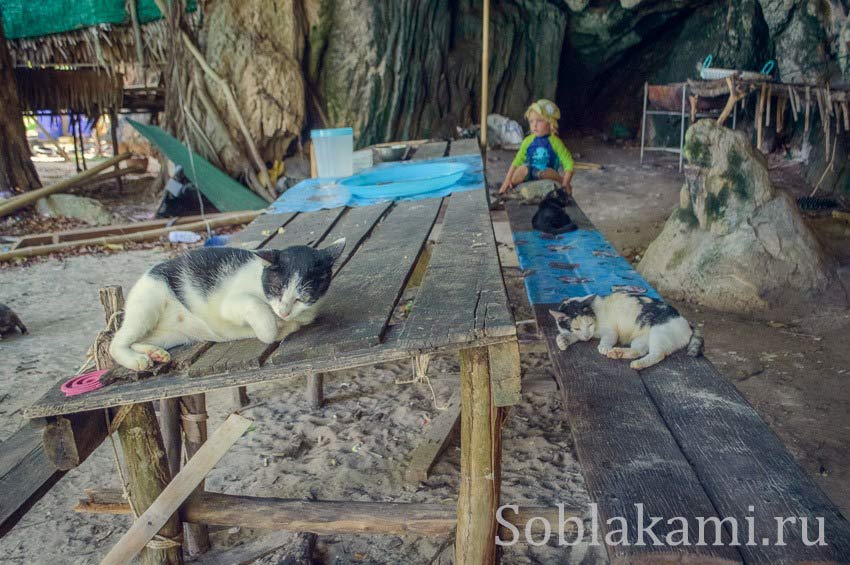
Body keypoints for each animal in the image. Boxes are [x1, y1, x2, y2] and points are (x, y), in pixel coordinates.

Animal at [110, 238, 344, 370]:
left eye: (301, 297)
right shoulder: (231, 304)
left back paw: (152, 352)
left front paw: (286, 325)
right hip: (148, 304)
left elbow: (298, 321)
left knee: (139, 339)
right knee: (115, 343)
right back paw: (136, 360)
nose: (284, 312)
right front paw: (271, 330)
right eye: (277, 289)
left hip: (171, 335)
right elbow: (260, 313)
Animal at [548, 290, 704, 370]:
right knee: (639, 351)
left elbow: (607, 338)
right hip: (641, 339)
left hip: (658, 333)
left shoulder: (610, 331)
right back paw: (618, 353)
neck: (594, 313)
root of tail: (687, 323)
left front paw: (603, 347)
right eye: (576, 327)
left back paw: (637, 364)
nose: (587, 336)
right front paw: (563, 340)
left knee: (658, 355)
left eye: (590, 324)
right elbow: (572, 336)